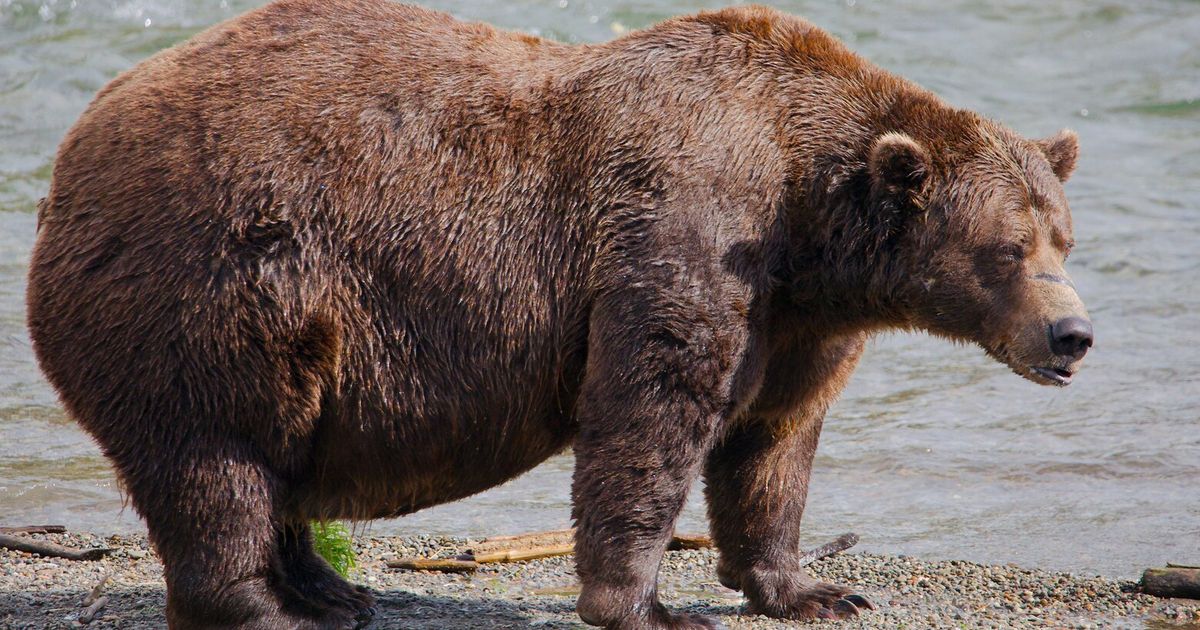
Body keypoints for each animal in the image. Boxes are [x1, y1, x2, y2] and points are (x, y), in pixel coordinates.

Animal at [26, 1, 1093, 628]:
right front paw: (648, 605)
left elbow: (773, 443)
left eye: (1063, 237)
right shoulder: (685, 229)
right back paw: (273, 606)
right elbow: (650, 415)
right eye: (1008, 248)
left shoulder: (798, 319)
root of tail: (68, 159)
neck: (806, 217)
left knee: (277, 458)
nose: (1073, 334)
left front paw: (814, 587)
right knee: (219, 459)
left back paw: (333, 588)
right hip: (213, 283)